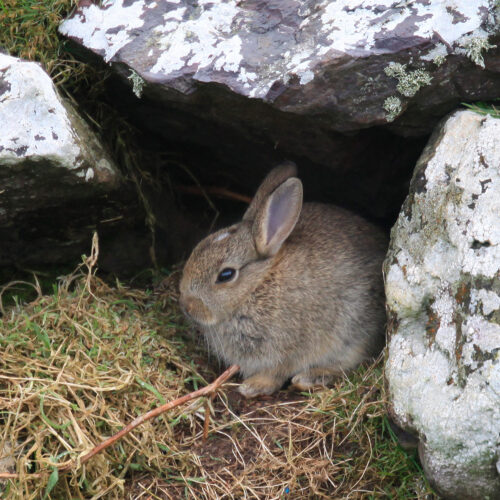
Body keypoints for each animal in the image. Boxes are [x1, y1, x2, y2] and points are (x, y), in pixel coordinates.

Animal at [179, 162, 386, 396]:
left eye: (226, 275)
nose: (186, 305)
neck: (256, 287)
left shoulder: (291, 349)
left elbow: (277, 372)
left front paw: (253, 386)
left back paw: (310, 378)